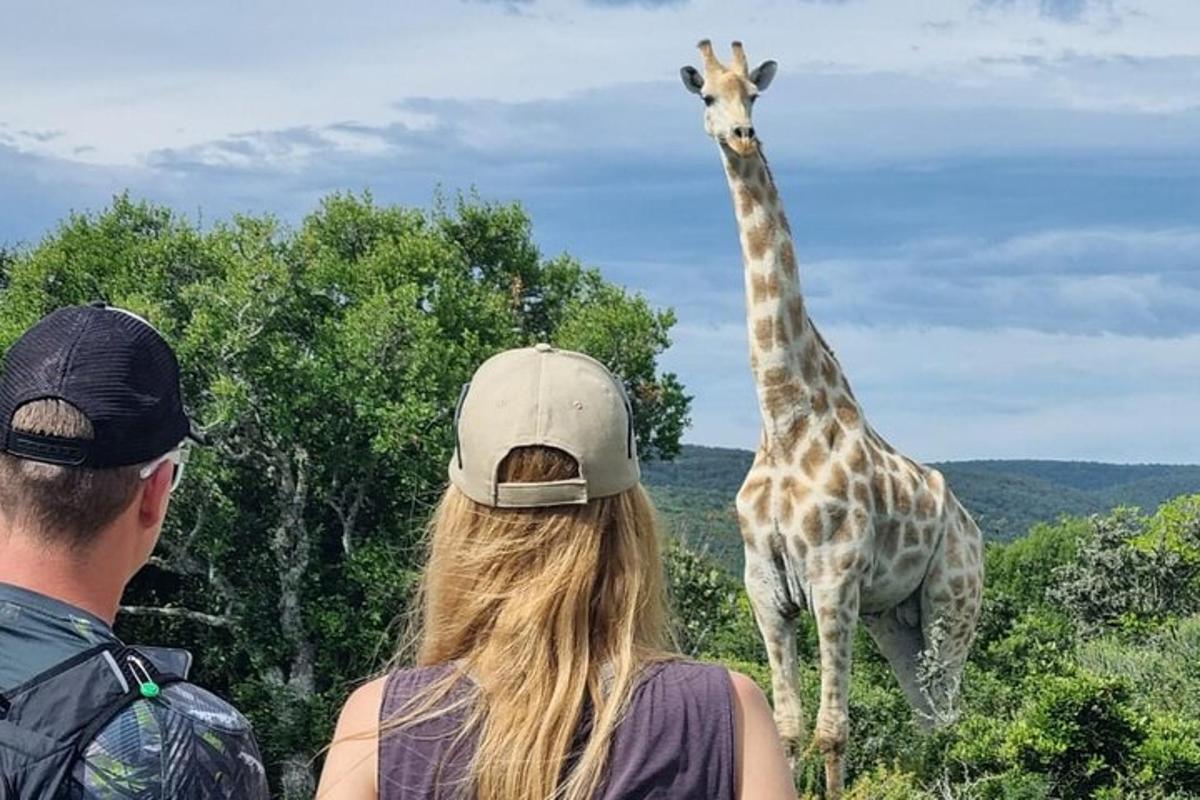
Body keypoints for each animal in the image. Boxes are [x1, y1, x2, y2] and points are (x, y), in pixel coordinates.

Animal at [681, 42, 979, 796]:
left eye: (754, 94)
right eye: (708, 97)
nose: (741, 136)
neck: (785, 413)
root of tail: (973, 528)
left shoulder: (834, 580)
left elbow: (832, 731)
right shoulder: (765, 586)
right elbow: (788, 727)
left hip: (953, 602)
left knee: (951, 714)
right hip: (895, 619)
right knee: (928, 715)